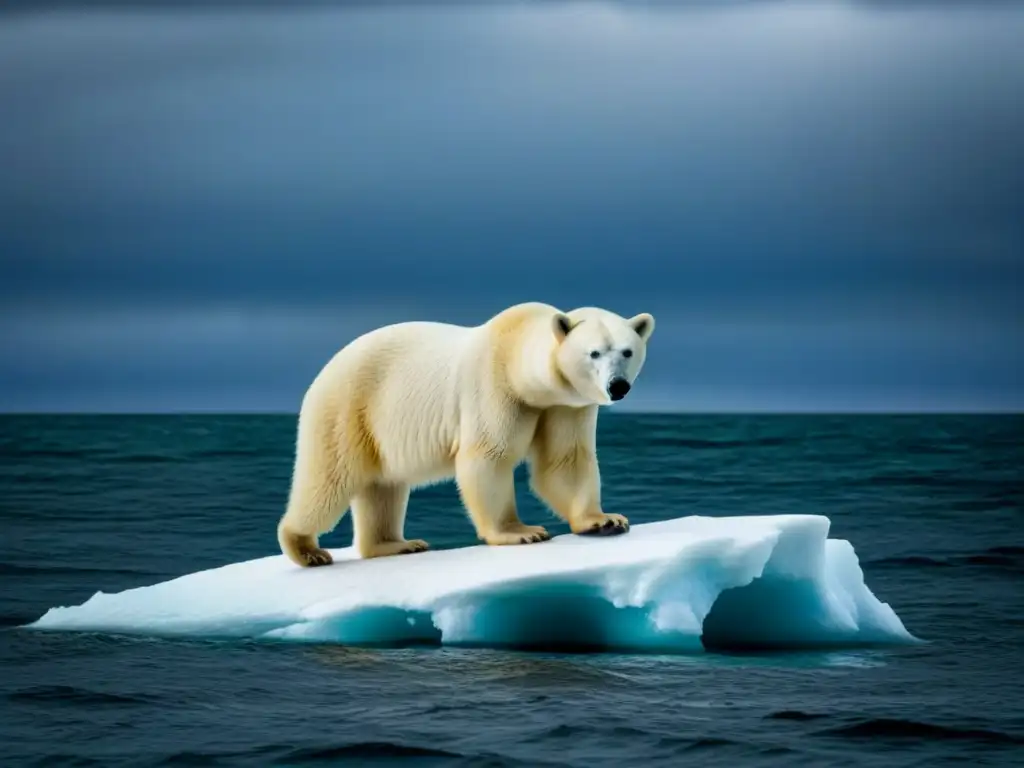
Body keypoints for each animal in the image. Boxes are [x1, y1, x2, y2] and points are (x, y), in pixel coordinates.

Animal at [276, 303, 651, 569]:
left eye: (627, 351)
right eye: (594, 353)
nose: (617, 386)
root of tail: (326, 367)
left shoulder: (566, 405)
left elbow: (565, 459)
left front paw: (604, 520)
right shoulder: (495, 387)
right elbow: (489, 456)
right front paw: (521, 532)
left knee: (383, 486)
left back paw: (397, 544)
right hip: (348, 408)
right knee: (331, 478)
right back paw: (307, 549)